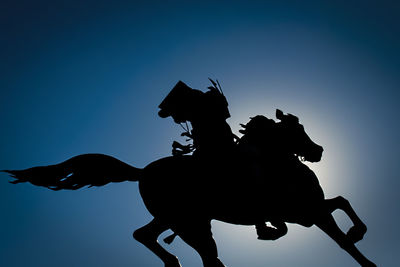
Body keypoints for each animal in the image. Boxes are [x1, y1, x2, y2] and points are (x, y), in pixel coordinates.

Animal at [2, 109, 376, 267]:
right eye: (294, 130)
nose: (318, 151)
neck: (278, 166)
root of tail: (143, 172)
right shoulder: (308, 212)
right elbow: (343, 239)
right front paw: (360, 246)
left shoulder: (309, 211)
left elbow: (342, 202)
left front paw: (358, 231)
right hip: (189, 223)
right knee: (204, 256)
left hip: (175, 219)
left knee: (145, 235)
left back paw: (173, 262)